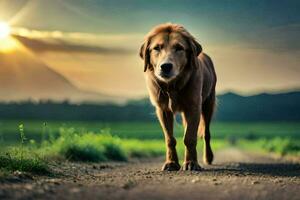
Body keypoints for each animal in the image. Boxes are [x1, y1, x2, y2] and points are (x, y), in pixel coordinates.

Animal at [139, 23, 217, 170]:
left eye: (179, 48)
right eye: (156, 48)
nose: (165, 66)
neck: (172, 86)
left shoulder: (194, 107)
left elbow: (190, 137)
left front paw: (191, 163)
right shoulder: (163, 109)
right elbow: (170, 139)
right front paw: (171, 162)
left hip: (208, 103)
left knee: (207, 133)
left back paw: (208, 157)